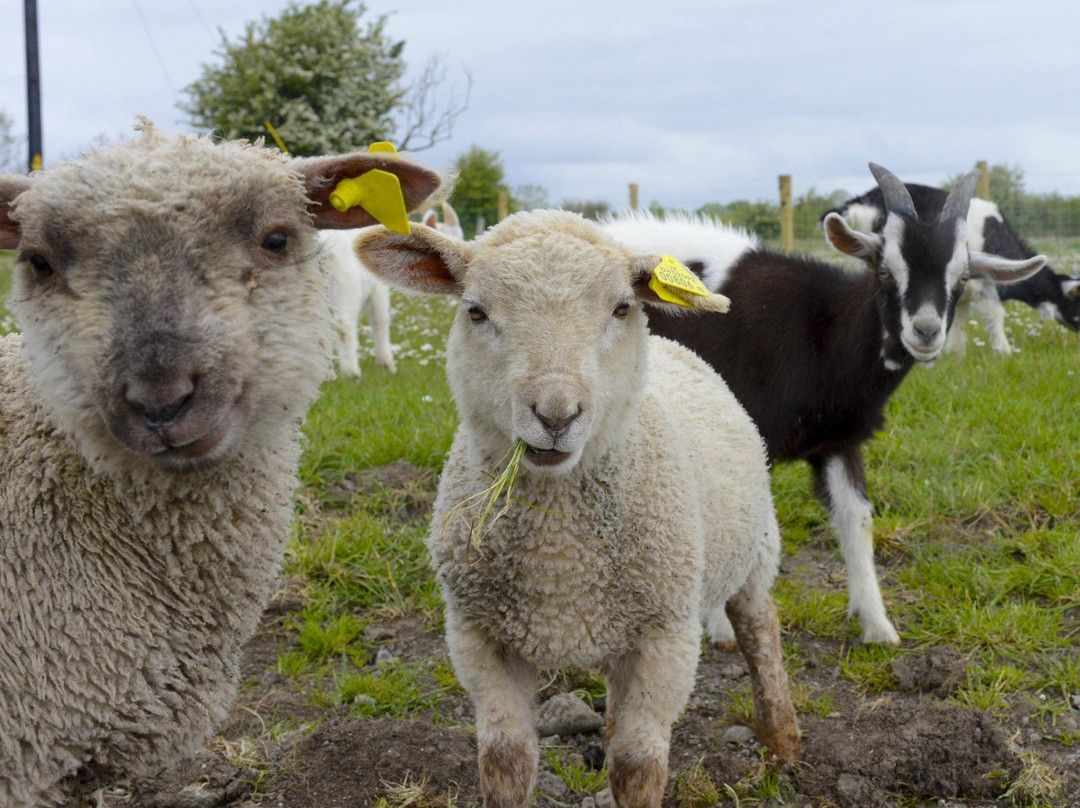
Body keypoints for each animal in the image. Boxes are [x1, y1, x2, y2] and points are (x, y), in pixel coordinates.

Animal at [354, 209, 794, 808]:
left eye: (621, 308)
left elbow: (637, 766)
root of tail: (677, 348)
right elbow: (506, 762)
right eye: (476, 311)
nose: (556, 415)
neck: (560, 557)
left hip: (753, 551)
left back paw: (782, 741)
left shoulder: (667, 637)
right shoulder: (477, 637)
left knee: (760, 629)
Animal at [604, 164, 1041, 643]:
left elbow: (857, 522)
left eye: (961, 278)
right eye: (884, 270)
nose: (925, 332)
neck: (822, 331)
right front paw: (722, 626)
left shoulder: (838, 440)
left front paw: (877, 625)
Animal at [829, 189, 1075, 356]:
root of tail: (858, 202)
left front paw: (955, 354)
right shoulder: (985, 286)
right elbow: (996, 314)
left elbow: (961, 318)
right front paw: (1004, 353)